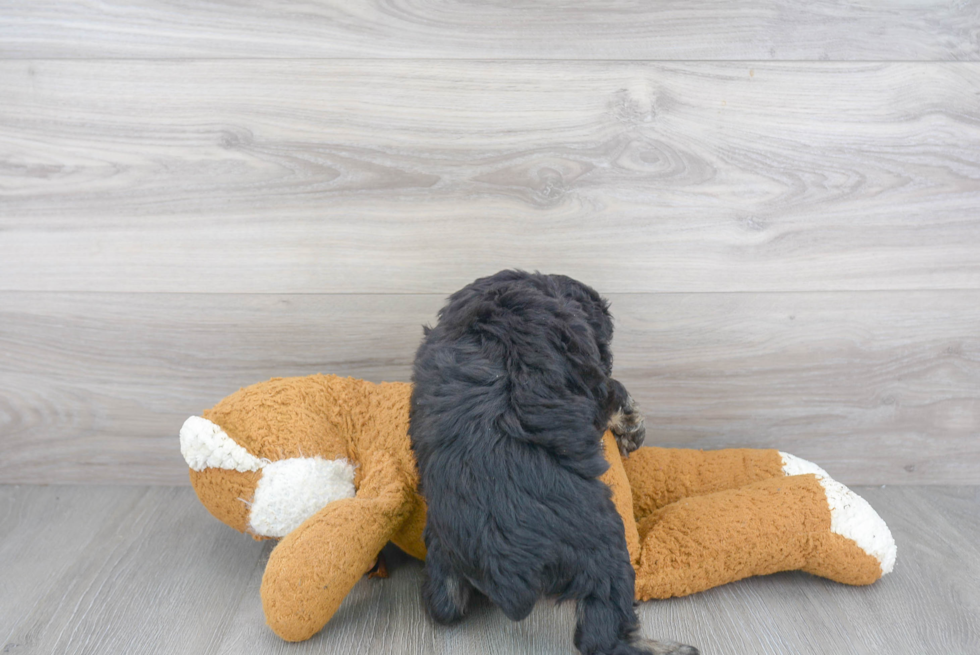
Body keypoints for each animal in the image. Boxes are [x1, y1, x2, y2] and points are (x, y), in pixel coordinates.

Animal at [406, 270, 696, 655]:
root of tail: (503, 565)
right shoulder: (594, 382)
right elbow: (615, 393)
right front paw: (632, 427)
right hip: (603, 543)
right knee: (600, 633)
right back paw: (664, 648)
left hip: (441, 547)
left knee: (444, 605)